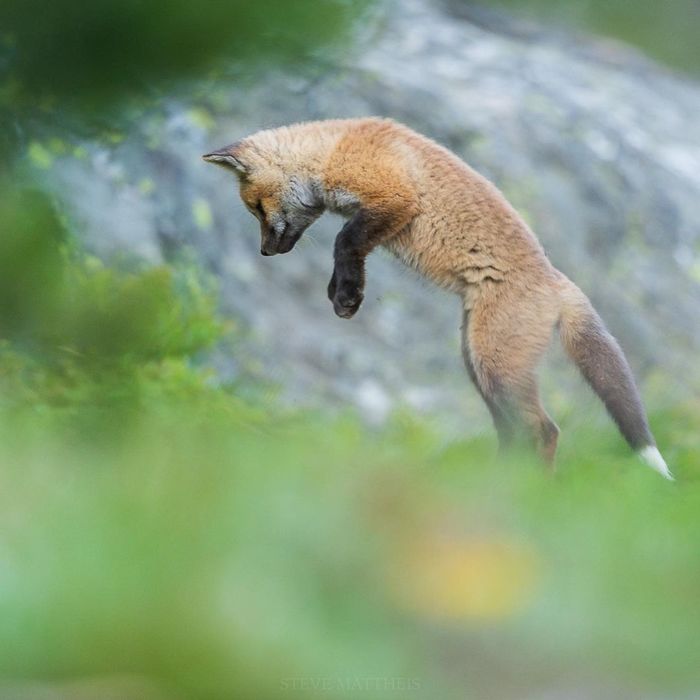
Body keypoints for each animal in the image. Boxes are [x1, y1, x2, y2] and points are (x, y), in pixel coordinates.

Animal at [206, 117, 672, 478]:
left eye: (256, 208)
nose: (265, 253)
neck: (333, 149)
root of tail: (559, 283)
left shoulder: (393, 198)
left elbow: (344, 241)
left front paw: (347, 296)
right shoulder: (374, 216)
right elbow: (349, 248)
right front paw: (340, 292)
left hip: (497, 367)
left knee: (544, 430)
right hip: (478, 364)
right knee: (514, 431)